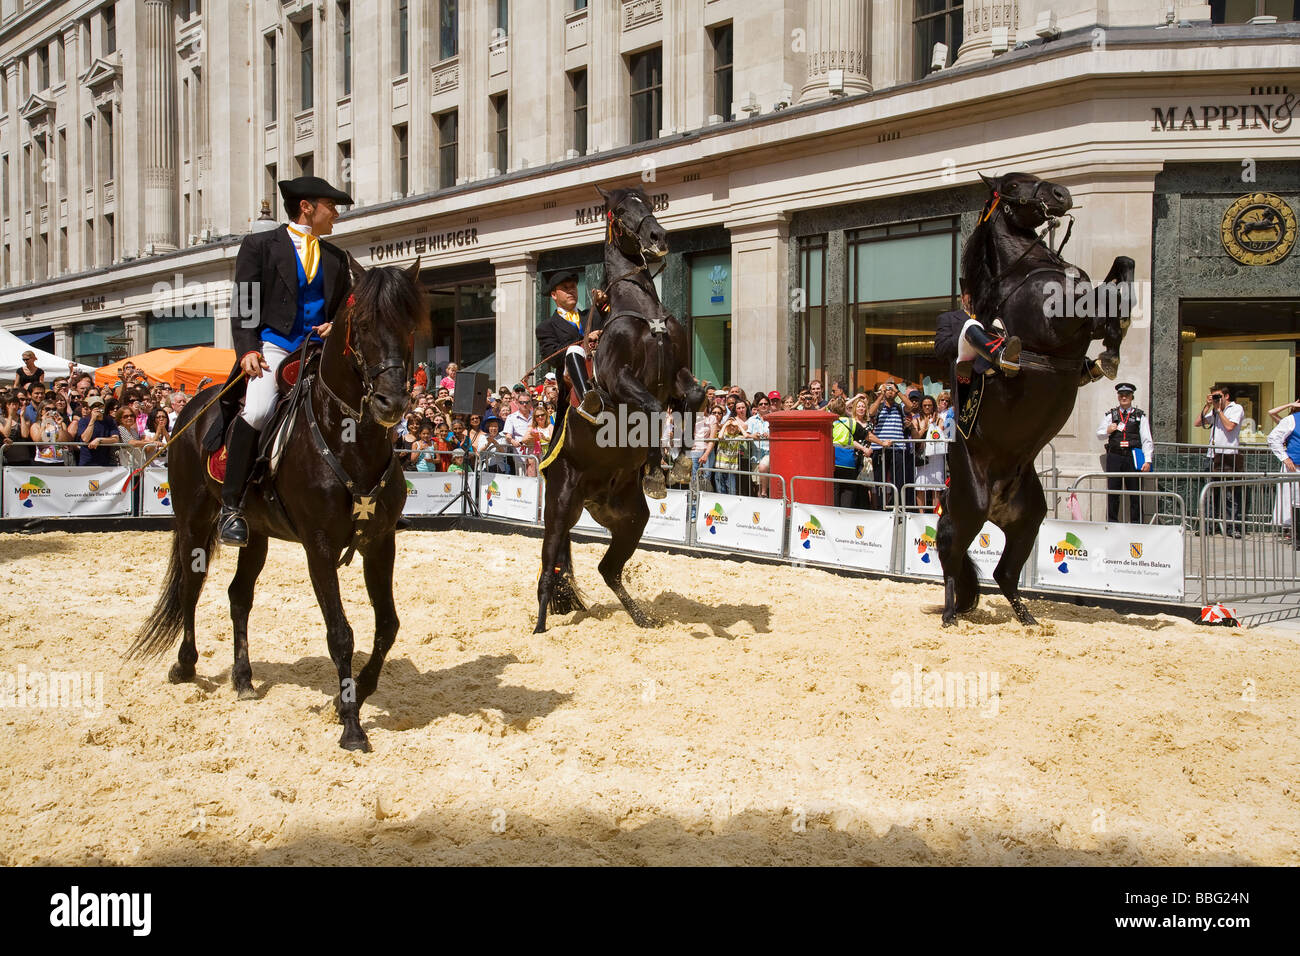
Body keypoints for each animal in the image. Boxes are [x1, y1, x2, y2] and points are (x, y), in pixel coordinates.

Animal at [126, 257, 421, 749]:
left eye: (411, 323)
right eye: (361, 324)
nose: (391, 402)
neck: (350, 442)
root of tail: (194, 407)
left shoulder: (379, 542)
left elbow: (388, 625)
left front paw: (356, 694)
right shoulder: (319, 548)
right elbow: (341, 633)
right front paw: (351, 724)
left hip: (256, 534)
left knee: (238, 595)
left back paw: (243, 678)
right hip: (193, 520)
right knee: (191, 588)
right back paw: (185, 664)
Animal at [533, 187, 707, 634]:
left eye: (649, 202)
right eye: (621, 211)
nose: (658, 237)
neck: (644, 313)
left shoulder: (678, 375)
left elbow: (694, 399)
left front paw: (678, 462)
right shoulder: (620, 383)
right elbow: (651, 408)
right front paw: (657, 465)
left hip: (630, 520)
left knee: (607, 570)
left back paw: (642, 618)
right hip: (559, 510)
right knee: (547, 574)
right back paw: (539, 630)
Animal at [941, 171, 1133, 629]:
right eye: (1014, 185)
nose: (1061, 193)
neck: (1029, 270)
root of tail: (994, 501)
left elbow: (1120, 269)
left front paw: (1112, 347)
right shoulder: (1058, 318)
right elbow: (1096, 298)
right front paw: (1111, 346)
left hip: (1029, 520)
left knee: (1004, 573)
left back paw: (1027, 619)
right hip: (969, 508)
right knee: (952, 560)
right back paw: (951, 614)